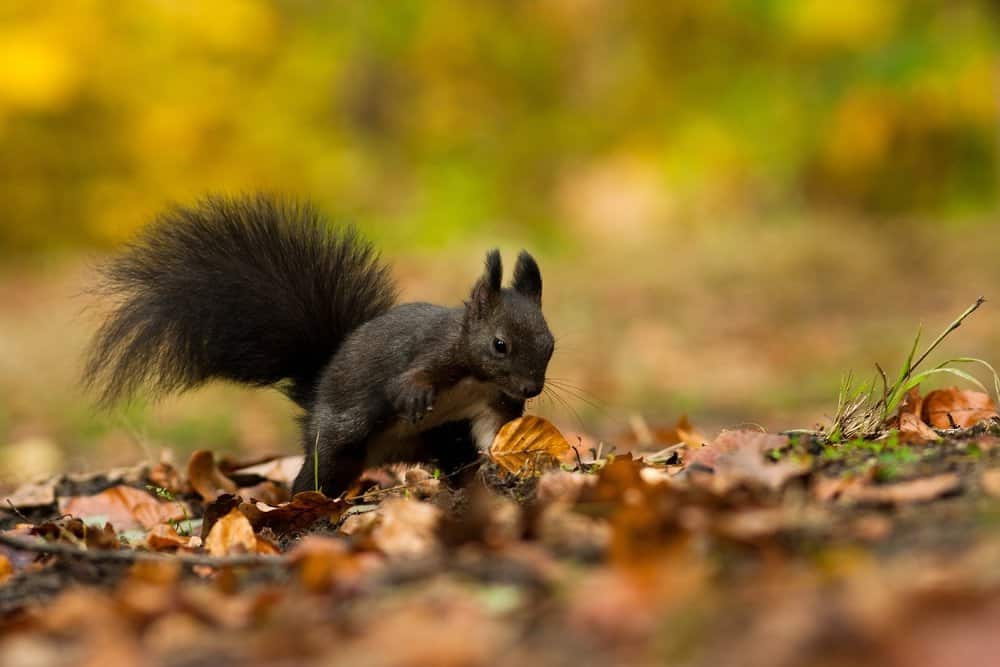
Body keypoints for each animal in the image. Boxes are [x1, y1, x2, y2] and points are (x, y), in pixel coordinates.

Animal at [84, 193, 556, 496]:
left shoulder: (489, 403)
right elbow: (406, 379)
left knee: (455, 458)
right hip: (339, 440)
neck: (476, 378)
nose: (531, 388)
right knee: (315, 475)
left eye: (551, 344)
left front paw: (504, 459)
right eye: (499, 344)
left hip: (443, 438)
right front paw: (417, 395)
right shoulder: (430, 353)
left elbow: (494, 432)